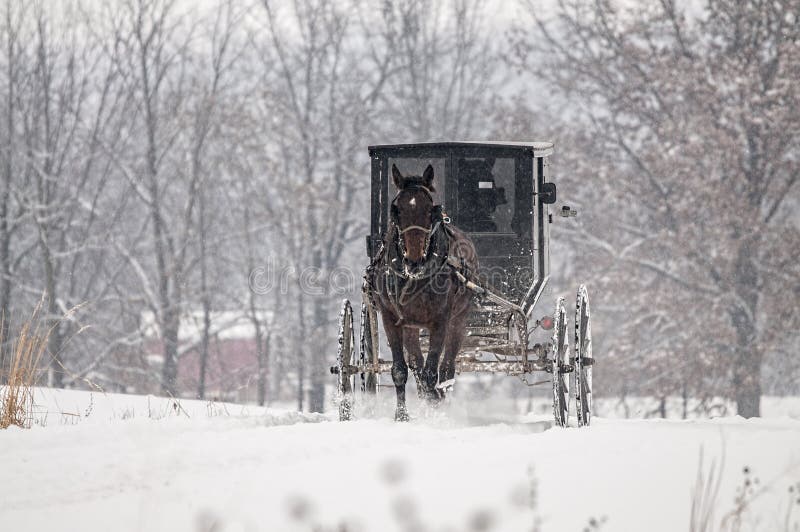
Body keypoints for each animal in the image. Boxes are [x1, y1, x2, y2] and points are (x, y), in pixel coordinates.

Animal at [367, 163, 478, 421]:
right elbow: (400, 370)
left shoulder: (441, 320)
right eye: (397, 209)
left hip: (459, 318)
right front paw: (401, 416)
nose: (414, 260)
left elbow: (431, 373)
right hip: (410, 325)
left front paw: (434, 407)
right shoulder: (390, 317)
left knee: (447, 368)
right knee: (416, 362)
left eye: (430, 209)